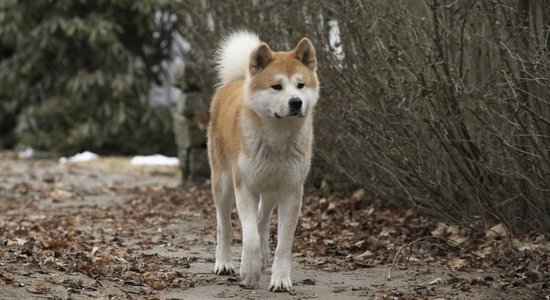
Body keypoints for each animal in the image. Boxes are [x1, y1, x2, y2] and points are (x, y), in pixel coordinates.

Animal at [207, 30, 320, 290]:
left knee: (262, 218)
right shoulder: (244, 187)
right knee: (224, 225)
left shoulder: (291, 190)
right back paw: (224, 262)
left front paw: (280, 279)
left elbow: (283, 244)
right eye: (277, 86)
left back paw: (263, 256)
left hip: (270, 188)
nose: (296, 102)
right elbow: (249, 237)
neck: (277, 138)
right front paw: (249, 271)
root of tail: (237, 81)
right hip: (224, 183)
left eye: (300, 85)